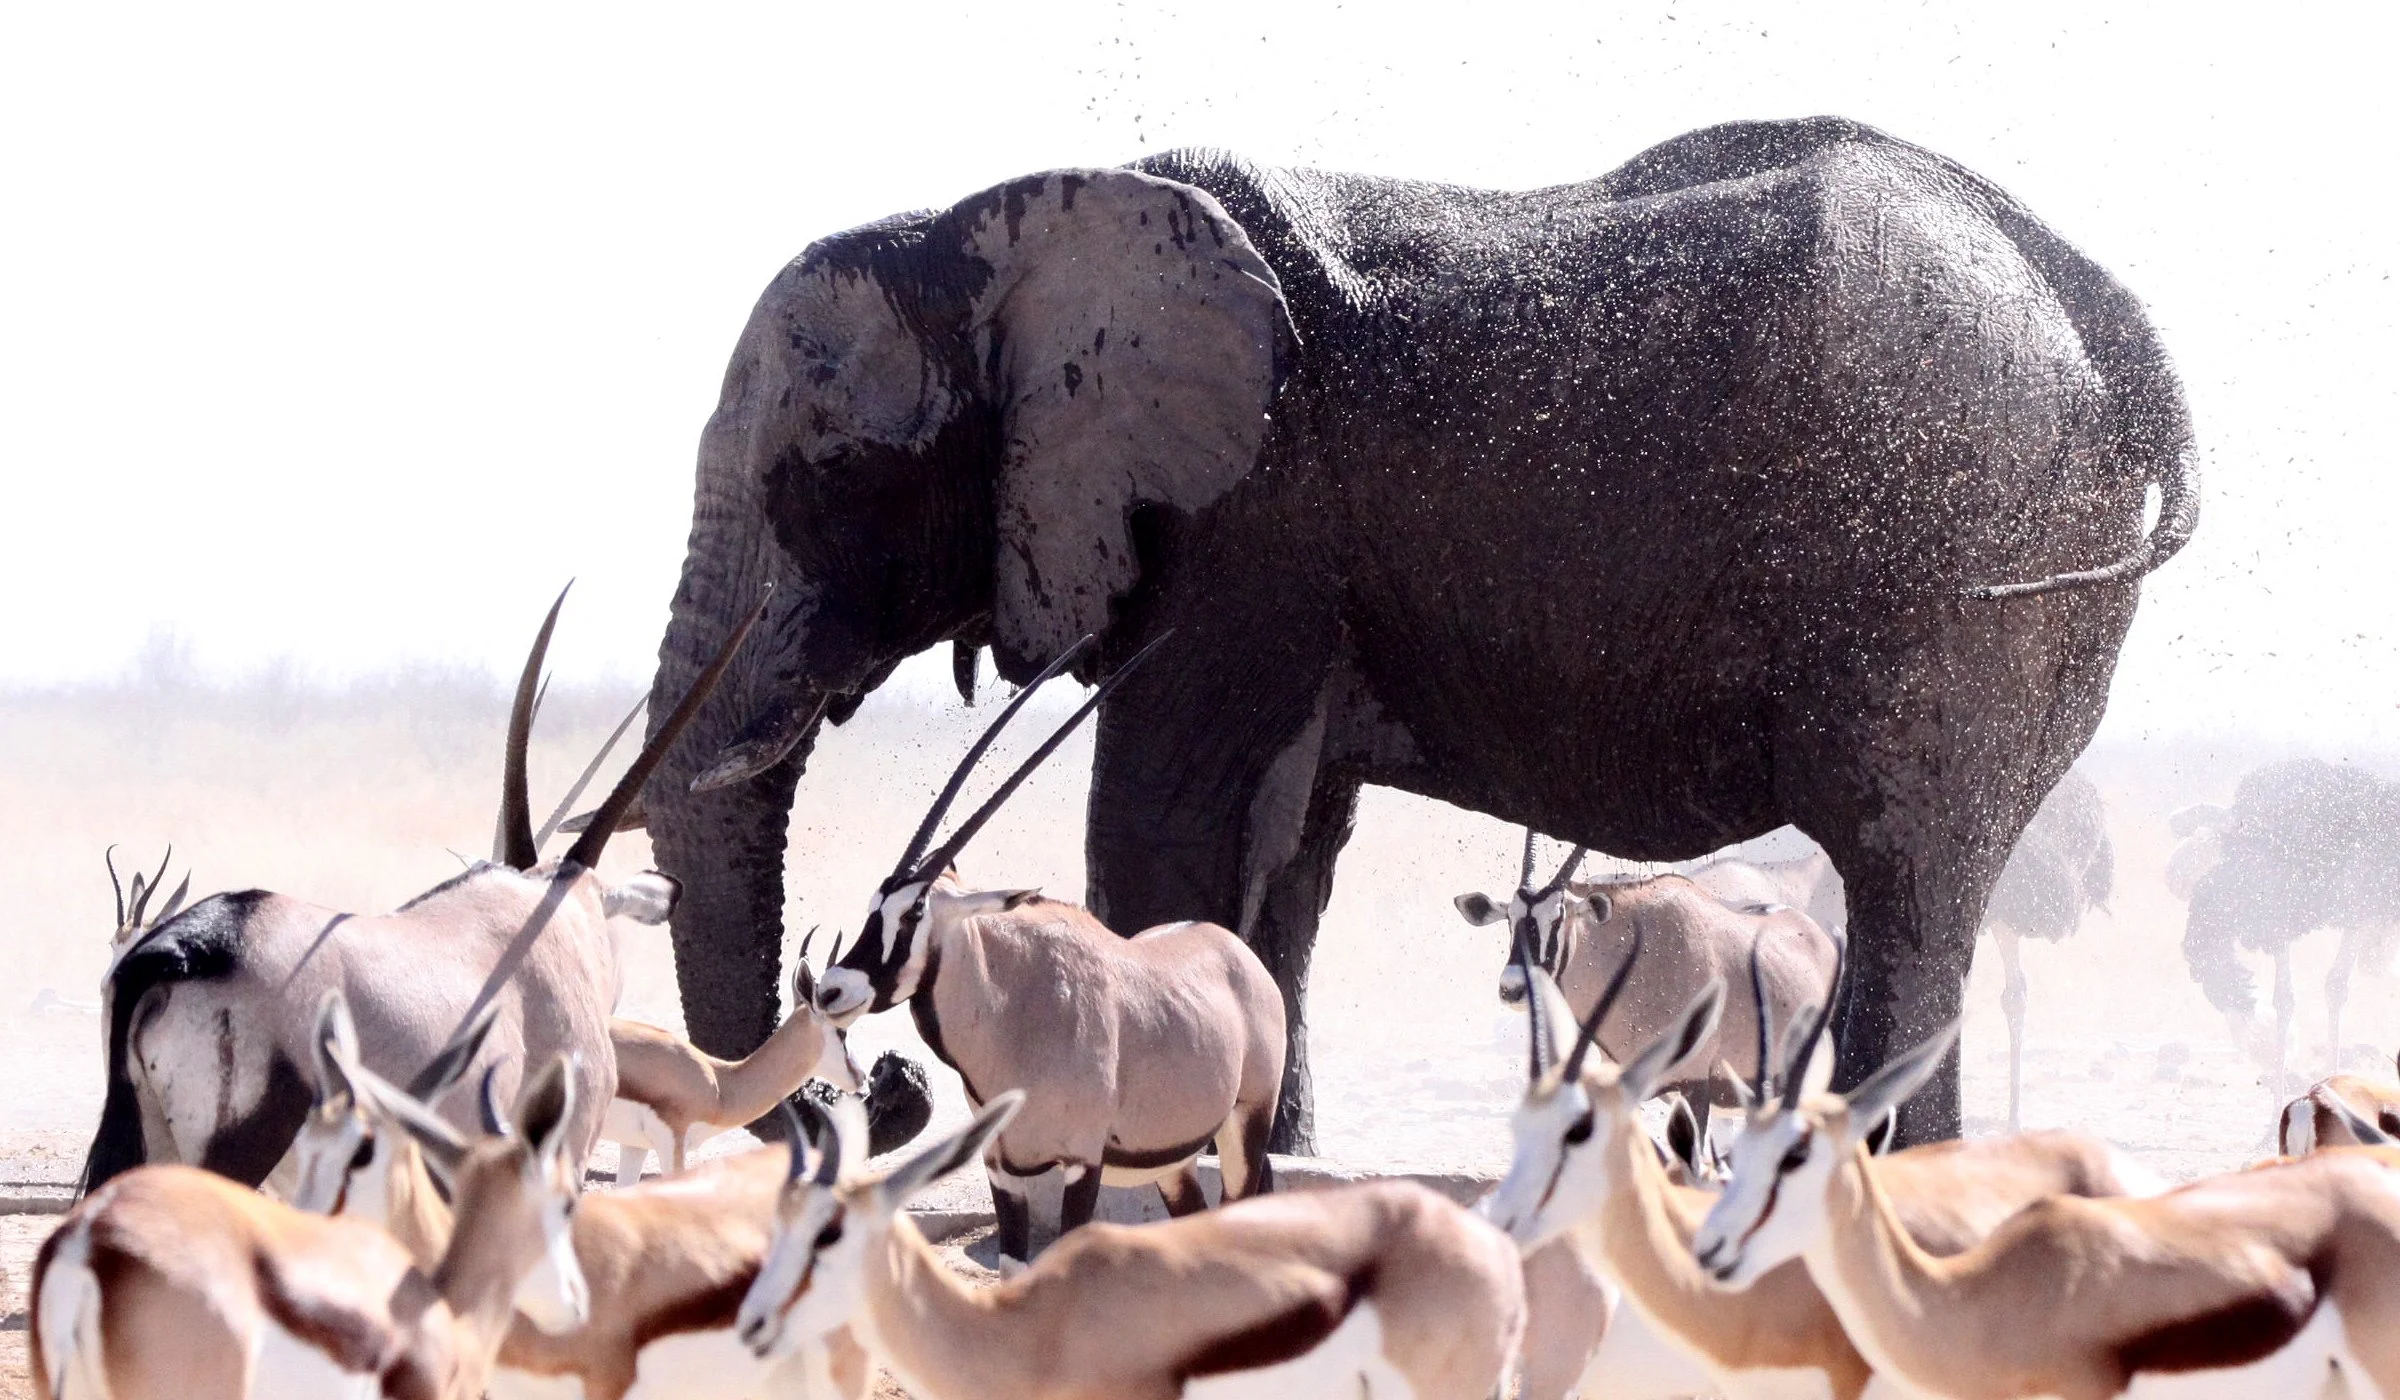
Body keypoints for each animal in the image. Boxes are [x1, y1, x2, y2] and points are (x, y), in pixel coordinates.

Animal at [631, 115, 2196, 1150]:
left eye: (830, 475)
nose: (864, 1092)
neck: (995, 223)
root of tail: (2109, 314)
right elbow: (1287, 855)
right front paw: (1271, 1168)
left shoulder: (1255, 509)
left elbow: (1173, 822)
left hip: (1959, 554)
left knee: (1904, 877)